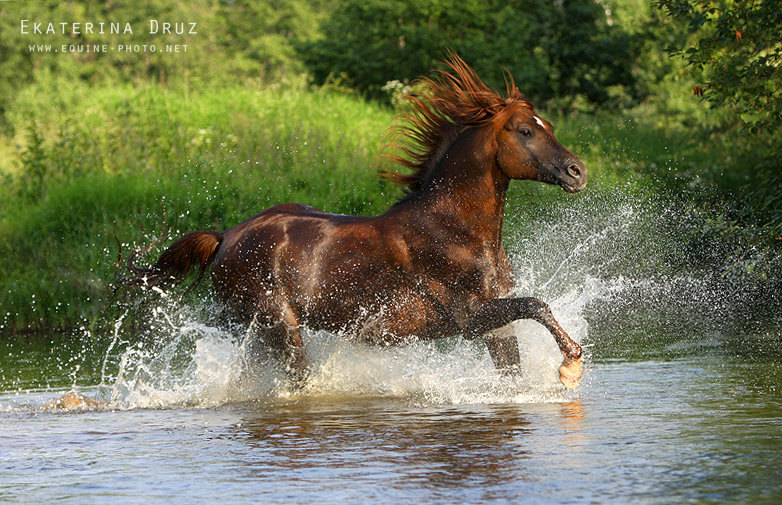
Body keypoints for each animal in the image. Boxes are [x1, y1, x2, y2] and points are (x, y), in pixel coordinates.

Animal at [129, 54, 592, 386]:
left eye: (548, 125)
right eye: (525, 131)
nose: (578, 171)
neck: (455, 229)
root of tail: (225, 236)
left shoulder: (495, 325)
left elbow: (514, 364)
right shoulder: (468, 318)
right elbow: (536, 303)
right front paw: (571, 364)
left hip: (256, 337)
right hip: (280, 329)